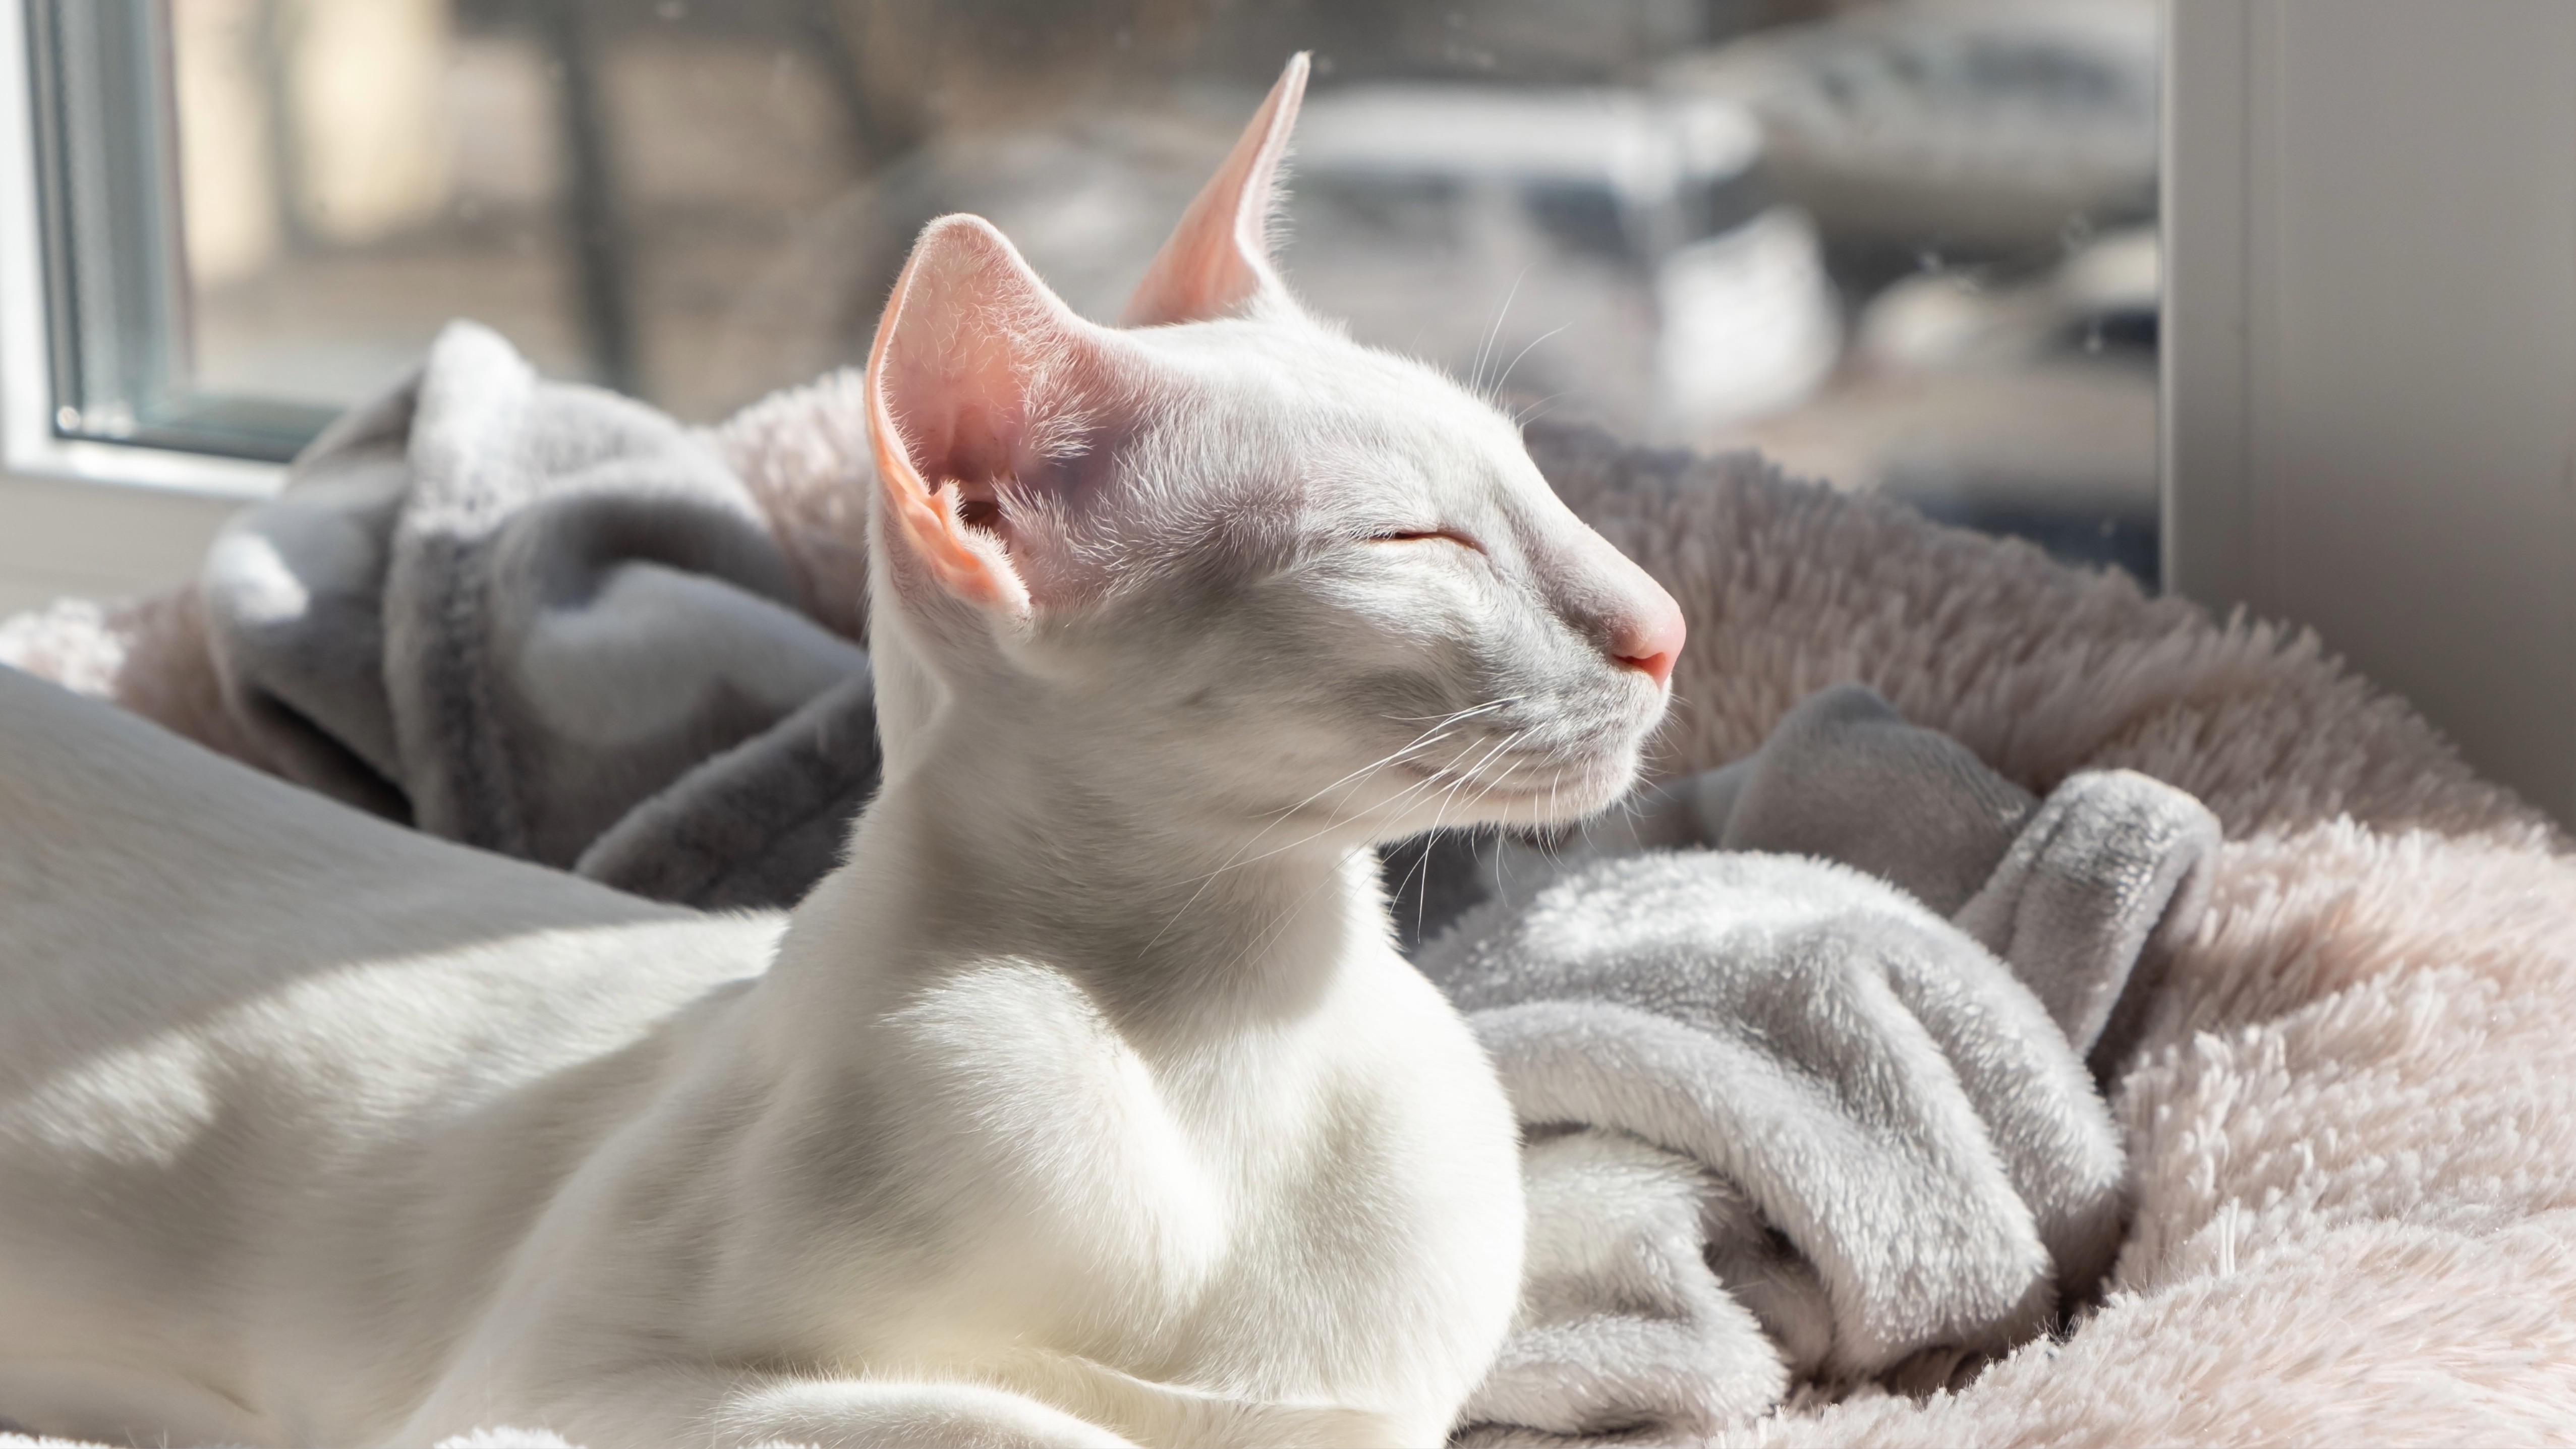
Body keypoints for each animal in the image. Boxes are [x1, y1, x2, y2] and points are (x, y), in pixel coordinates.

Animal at [0, 51, 1690, 1441]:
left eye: (1532, 477)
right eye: (1418, 541)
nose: (1665, 626)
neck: (1222, 1045)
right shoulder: (560, 1386)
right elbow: (1023, 1420)